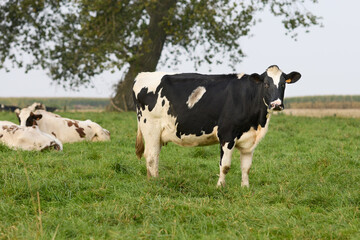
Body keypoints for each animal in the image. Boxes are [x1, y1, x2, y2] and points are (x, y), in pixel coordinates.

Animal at [132, 65, 300, 188]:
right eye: (266, 84)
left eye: (283, 84)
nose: (276, 104)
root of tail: (141, 75)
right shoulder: (227, 134)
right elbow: (225, 165)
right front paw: (220, 187)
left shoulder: (249, 140)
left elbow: (246, 167)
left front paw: (245, 188)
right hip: (150, 127)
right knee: (151, 156)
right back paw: (155, 183)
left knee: (154, 157)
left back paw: (153, 180)